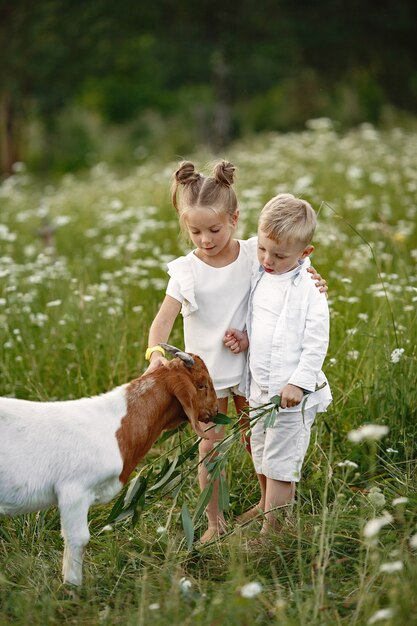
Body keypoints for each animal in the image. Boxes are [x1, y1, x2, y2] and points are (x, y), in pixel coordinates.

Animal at [0, 346, 214, 584]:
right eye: (202, 384)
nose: (215, 411)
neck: (116, 427)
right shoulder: (73, 491)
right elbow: (78, 539)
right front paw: (72, 586)